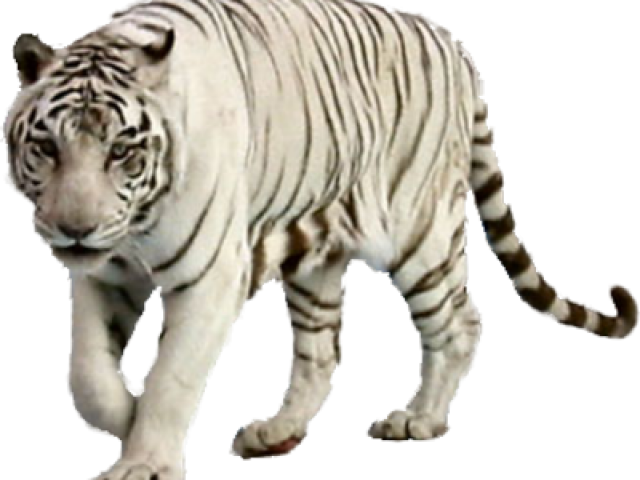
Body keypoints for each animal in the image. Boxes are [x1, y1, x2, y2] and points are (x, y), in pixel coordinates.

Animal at [3, 0, 638, 477]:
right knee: (322, 351)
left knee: (461, 322)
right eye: (47, 148)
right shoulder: (104, 272)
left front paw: (143, 463)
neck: (134, 227)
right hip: (315, 261)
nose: (75, 229)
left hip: (420, 235)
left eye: (121, 152)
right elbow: (87, 375)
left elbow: (171, 375)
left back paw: (419, 420)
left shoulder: (210, 278)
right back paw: (279, 433)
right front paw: (123, 417)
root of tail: (455, 45)